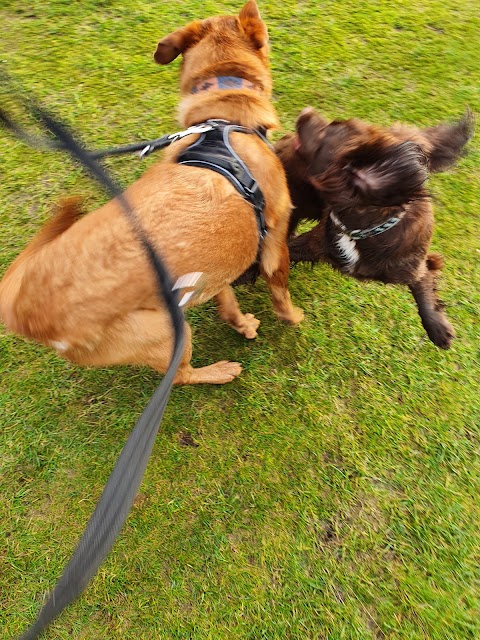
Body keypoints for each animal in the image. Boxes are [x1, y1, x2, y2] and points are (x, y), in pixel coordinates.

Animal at [0, 1, 304, 384]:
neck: (222, 116)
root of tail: (28, 314)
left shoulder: (212, 270)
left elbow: (228, 302)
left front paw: (242, 324)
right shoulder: (275, 240)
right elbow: (280, 290)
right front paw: (293, 317)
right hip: (170, 331)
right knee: (181, 376)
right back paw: (219, 371)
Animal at [278, 110, 472, 350]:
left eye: (329, 129)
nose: (306, 111)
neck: (362, 229)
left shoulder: (416, 268)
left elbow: (425, 291)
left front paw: (437, 328)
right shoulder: (316, 242)